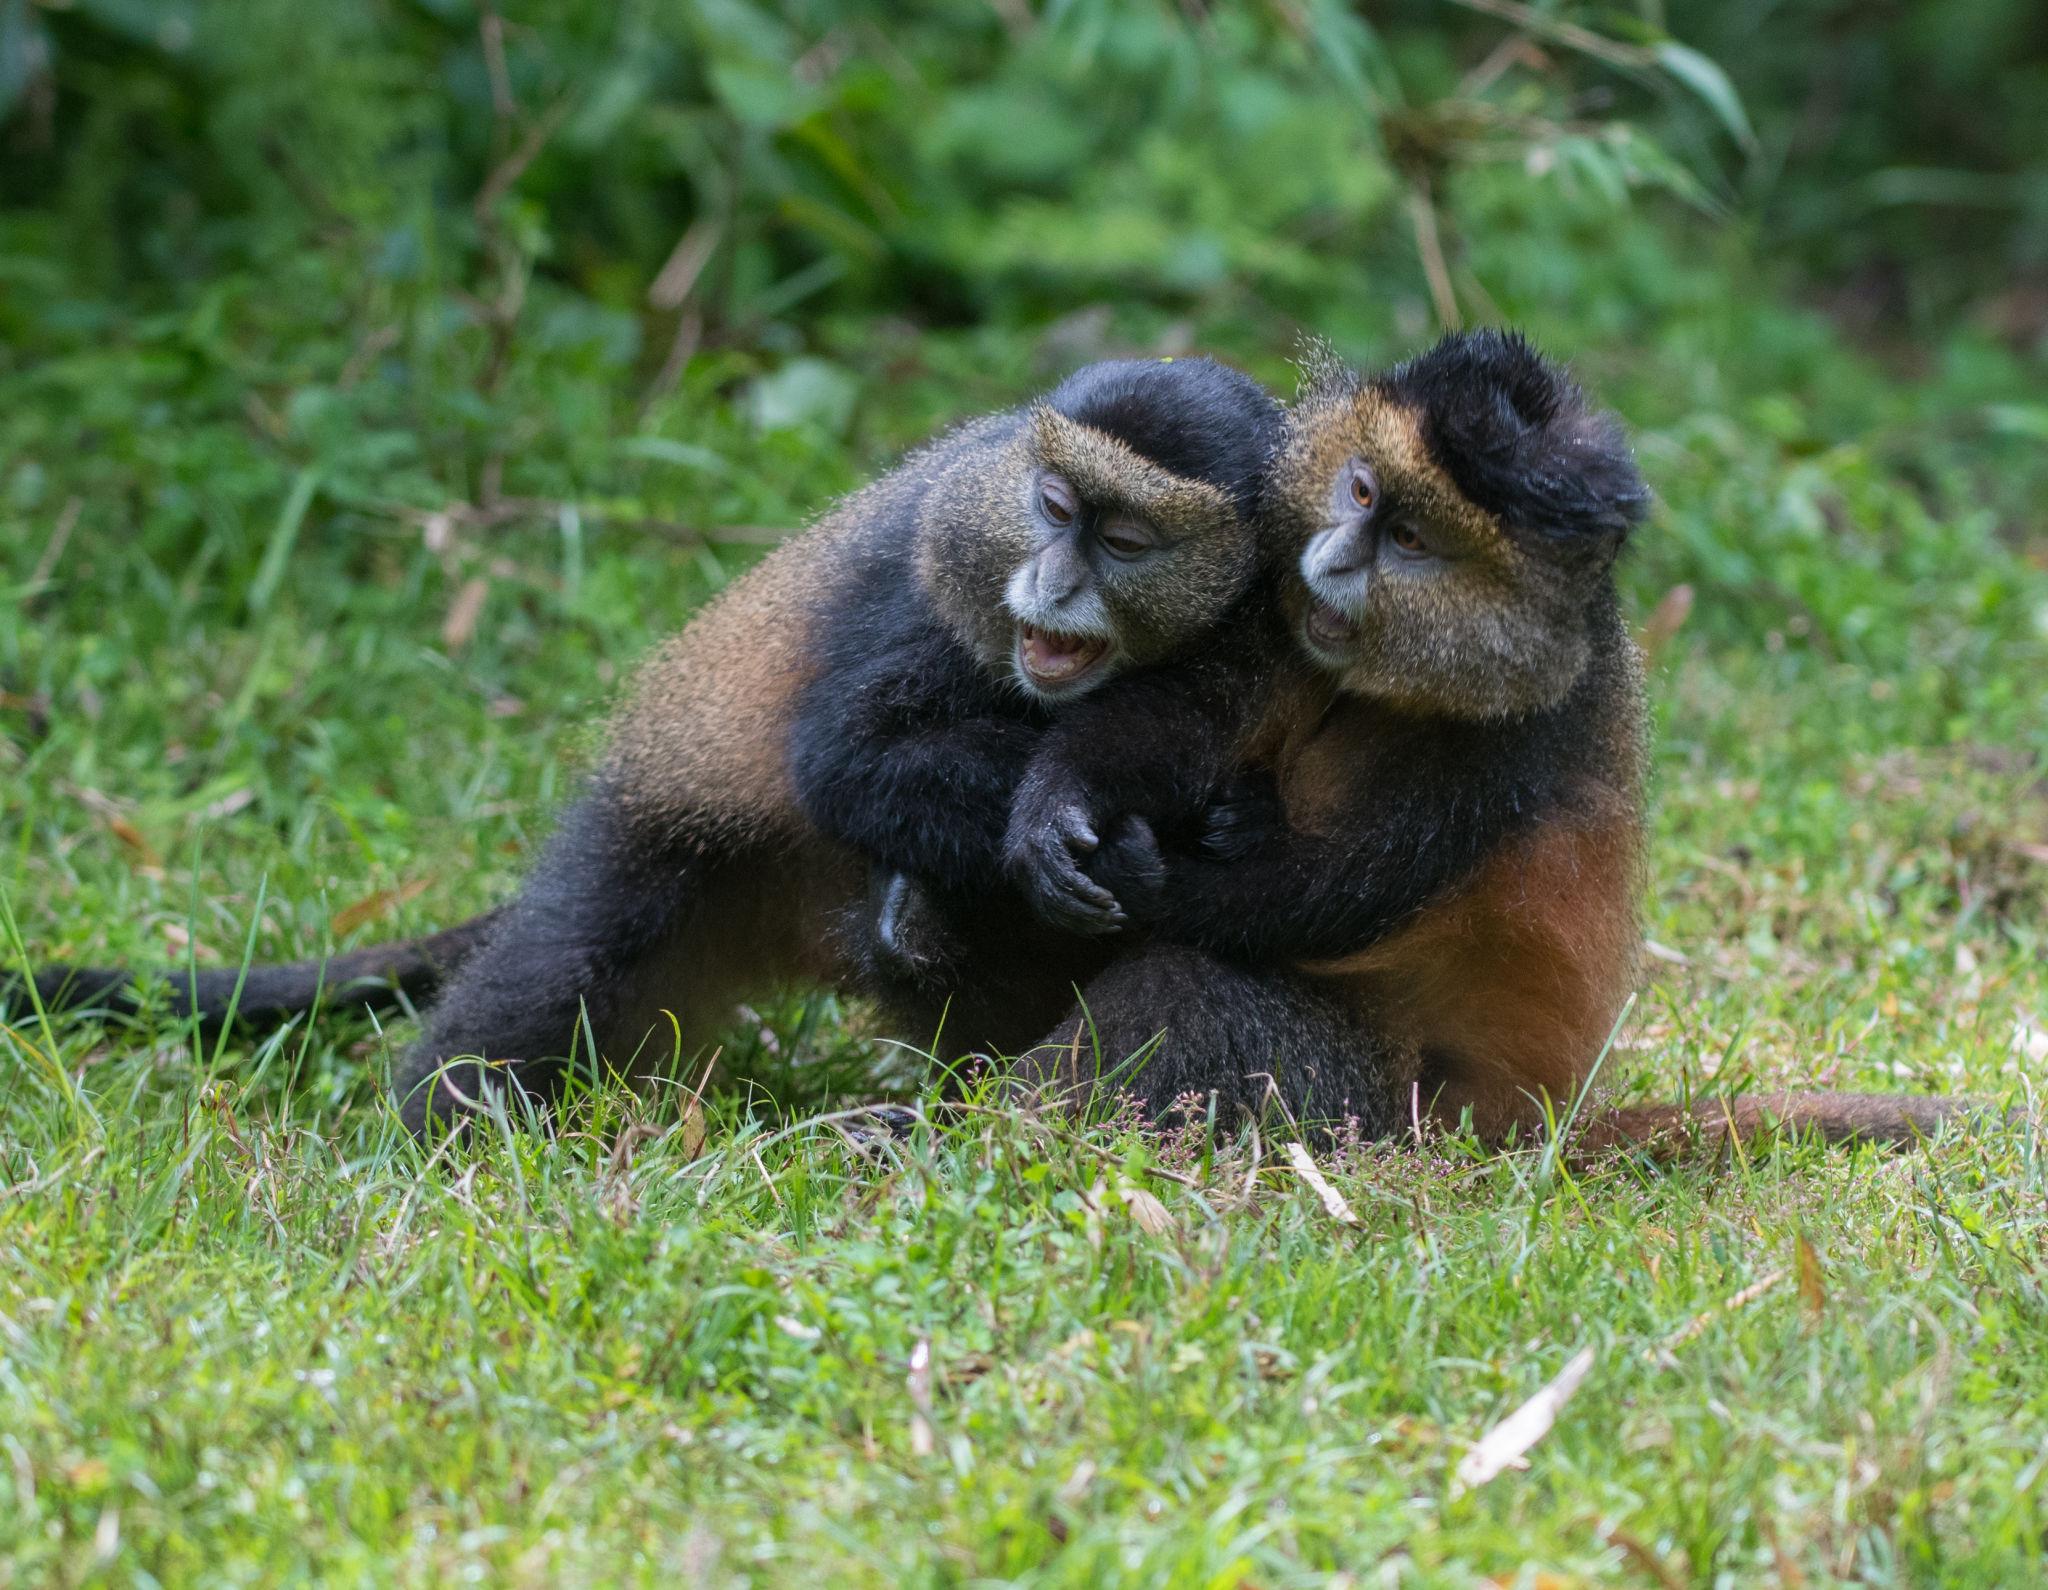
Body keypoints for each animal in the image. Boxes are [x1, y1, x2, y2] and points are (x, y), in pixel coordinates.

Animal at [1015, 329, 2002, 1154]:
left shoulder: (1512, 743)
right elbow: (1185, 721)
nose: (1331, 559)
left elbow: (1318, 897)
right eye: (1359, 492)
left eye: (1409, 539)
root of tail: (1534, 1122)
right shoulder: (1280, 609)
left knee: (1193, 991)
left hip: (1377, 1098)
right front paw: (1060, 799)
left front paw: (1146, 875)